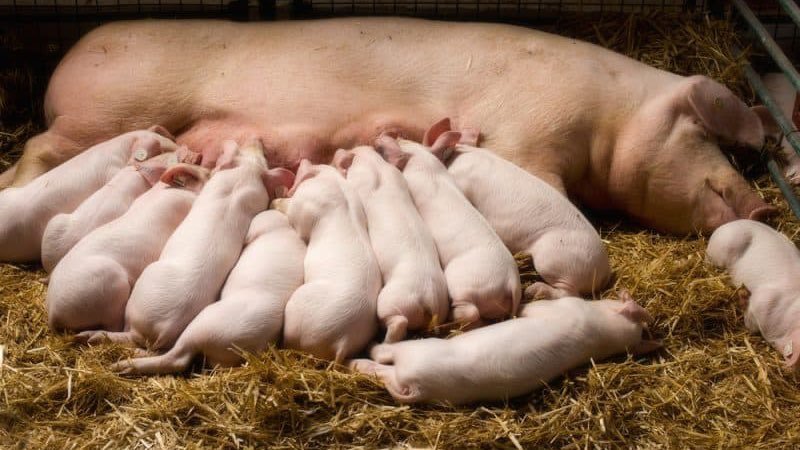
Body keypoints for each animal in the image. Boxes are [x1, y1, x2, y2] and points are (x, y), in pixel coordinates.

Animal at [6, 18, 778, 234]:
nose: (766, 205)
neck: (608, 120)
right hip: (104, 112)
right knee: (38, 148)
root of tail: (68, 57)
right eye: (700, 134)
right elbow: (541, 186)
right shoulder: (532, 129)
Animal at [332, 145, 449, 342]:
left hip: (391, 300)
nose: (356, 147)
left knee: (398, 322)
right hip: (441, 304)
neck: (375, 166)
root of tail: (429, 298)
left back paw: (383, 342)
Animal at [349, 293, 656, 404]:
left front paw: (521, 305)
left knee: (383, 357)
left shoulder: (561, 307)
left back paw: (361, 354)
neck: (602, 335)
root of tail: (418, 388)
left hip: (416, 352)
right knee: (385, 374)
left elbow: (532, 309)